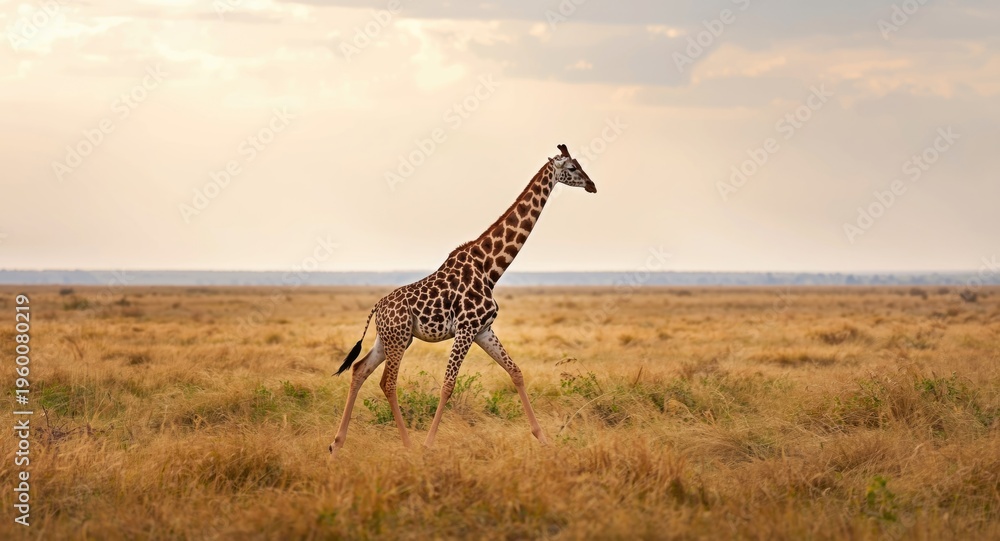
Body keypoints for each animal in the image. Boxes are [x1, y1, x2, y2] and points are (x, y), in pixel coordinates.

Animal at [330, 144, 597, 455]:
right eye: (573, 168)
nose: (592, 185)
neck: (489, 268)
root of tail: (378, 307)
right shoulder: (466, 328)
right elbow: (448, 384)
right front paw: (428, 444)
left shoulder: (483, 330)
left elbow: (516, 372)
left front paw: (543, 438)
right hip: (398, 339)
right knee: (388, 382)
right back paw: (408, 445)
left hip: (390, 339)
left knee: (360, 370)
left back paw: (336, 444)